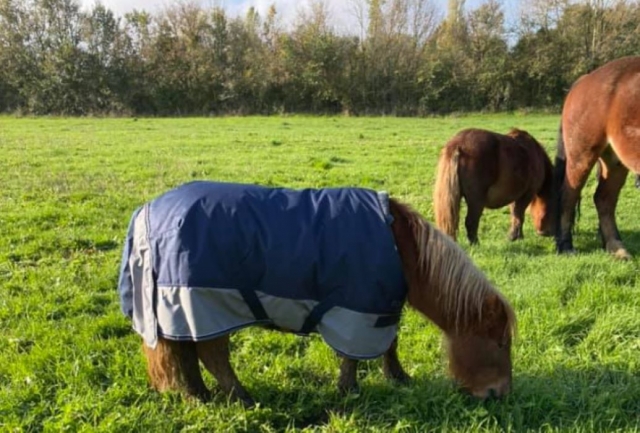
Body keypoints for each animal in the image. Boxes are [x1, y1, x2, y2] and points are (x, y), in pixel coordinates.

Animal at [118, 181, 516, 406]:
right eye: (499, 343)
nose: (498, 394)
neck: (400, 246)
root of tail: (146, 213)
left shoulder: (379, 308)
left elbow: (390, 346)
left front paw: (399, 379)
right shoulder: (359, 310)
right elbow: (354, 357)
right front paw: (348, 391)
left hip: (183, 310)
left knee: (187, 353)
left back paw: (199, 396)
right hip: (202, 304)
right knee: (211, 354)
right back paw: (241, 398)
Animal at [555, 56, 640, 259]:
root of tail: (584, 80)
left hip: (614, 161)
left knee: (604, 199)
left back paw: (616, 247)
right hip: (582, 154)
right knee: (568, 195)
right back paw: (566, 245)